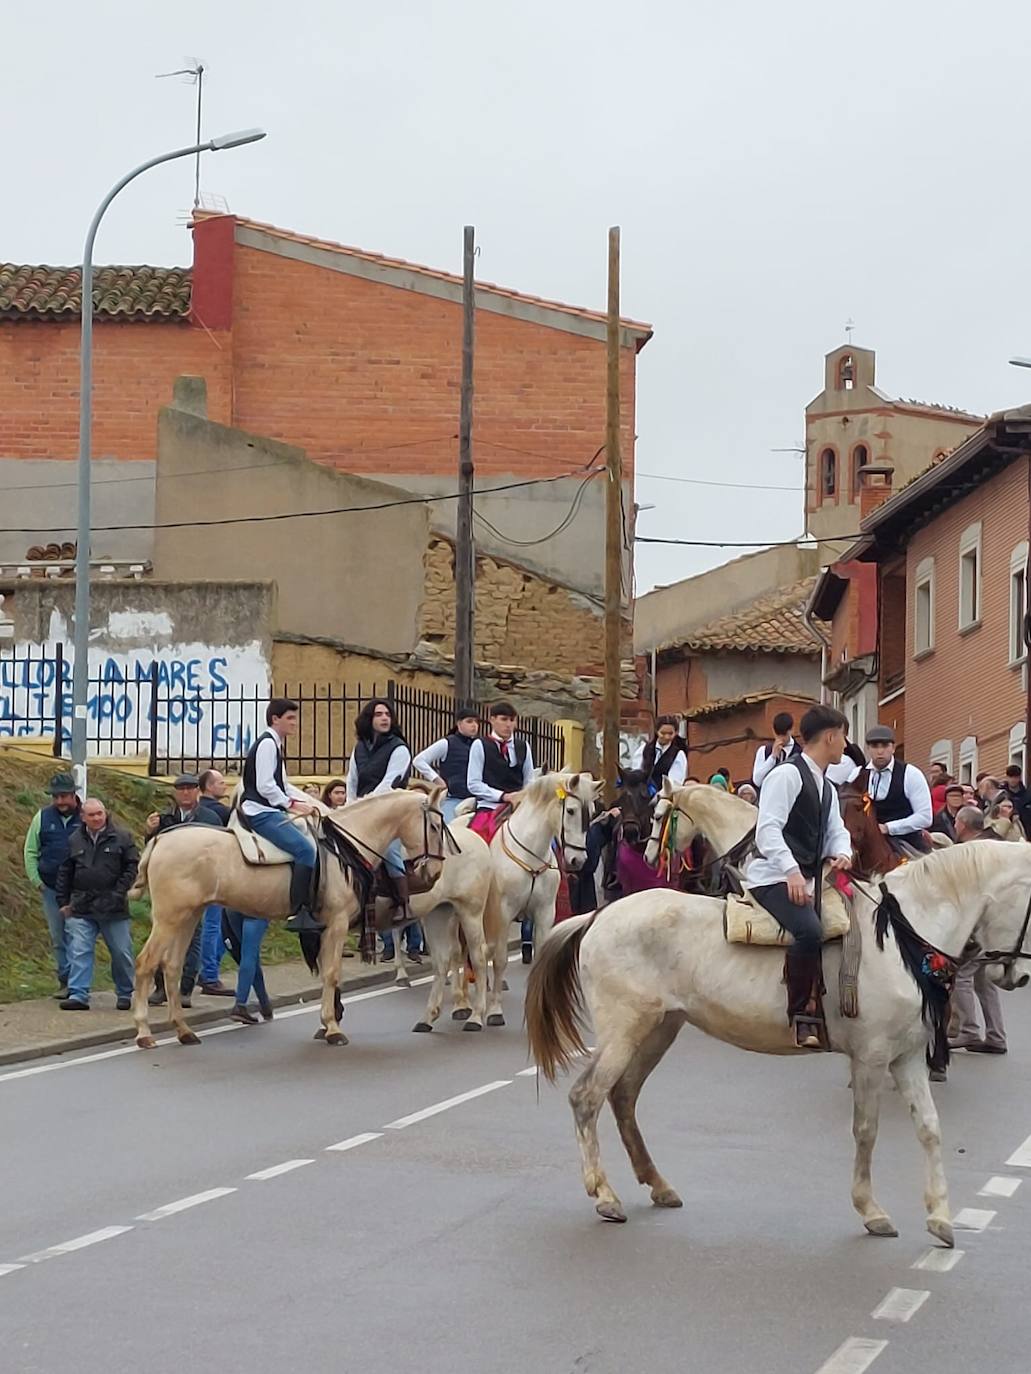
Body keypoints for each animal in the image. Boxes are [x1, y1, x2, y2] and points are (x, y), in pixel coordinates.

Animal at [129, 785, 448, 1049]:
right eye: (434, 826)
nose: (433, 872)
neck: (344, 844)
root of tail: (160, 840)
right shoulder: (337, 923)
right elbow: (332, 973)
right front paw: (332, 1028)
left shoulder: (324, 928)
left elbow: (327, 973)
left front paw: (327, 1023)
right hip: (170, 917)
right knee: (146, 963)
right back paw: (144, 1032)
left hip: (189, 916)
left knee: (171, 966)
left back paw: (184, 1031)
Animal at [527, 791, 1031, 1242]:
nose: (1020, 974)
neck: (899, 934)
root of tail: (600, 914)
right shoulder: (870, 1058)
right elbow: (866, 1130)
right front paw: (871, 1209)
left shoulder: (906, 1057)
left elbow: (928, 1128)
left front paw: (940, 1217)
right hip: (623, 1031)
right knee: (587, 1098)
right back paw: (604, 1195)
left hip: (658, 1030)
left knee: (623, 1096)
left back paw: (657, 1184)